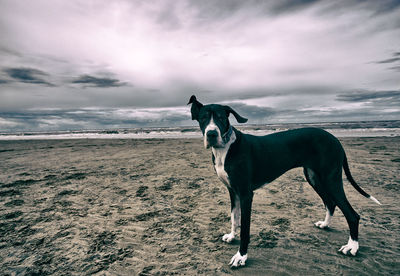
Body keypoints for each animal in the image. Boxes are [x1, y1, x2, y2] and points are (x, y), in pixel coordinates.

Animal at [188, 96, 382, 268]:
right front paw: (231, 235)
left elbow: (245, 229)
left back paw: (352, 247)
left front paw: (241, 256)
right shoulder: (232, 190)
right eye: (203, 118)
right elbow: (234, 217)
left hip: (331, 179)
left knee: (352, 214)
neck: (226, 148)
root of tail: (335, 139)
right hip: (314, 177)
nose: (212, 134)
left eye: (221, 117)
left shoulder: (245, 194)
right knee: (330, 202)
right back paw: (326, 224)